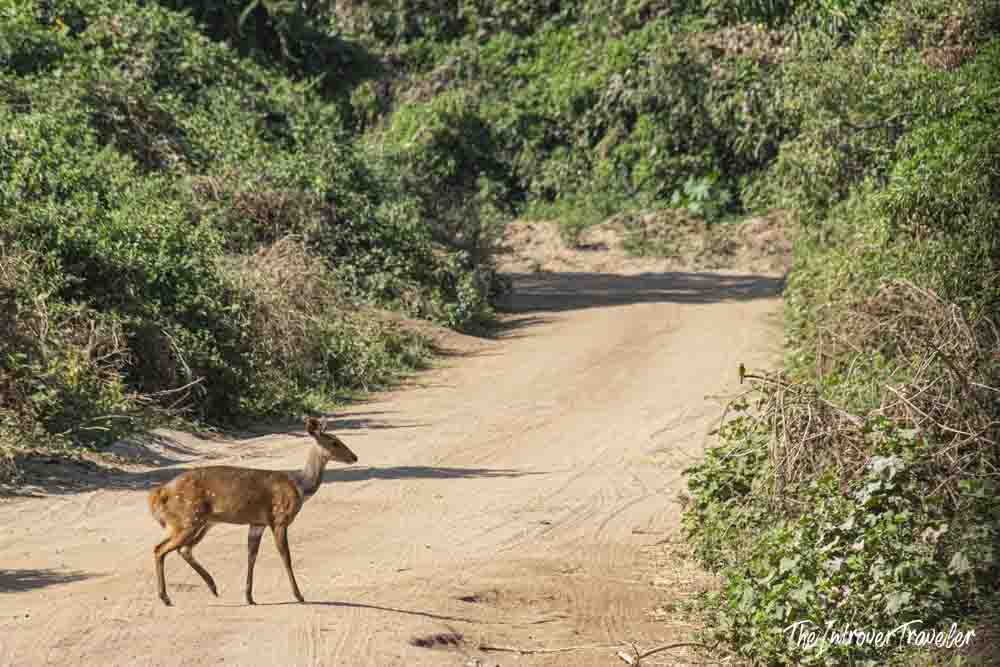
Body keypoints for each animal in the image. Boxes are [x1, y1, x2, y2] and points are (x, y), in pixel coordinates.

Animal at [148, 416, 358, 606]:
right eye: (334, 442)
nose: (354, 457)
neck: (299, 487)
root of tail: (159, 494)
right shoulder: (279, 518)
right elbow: (286, 557)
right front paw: (299, 596)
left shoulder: (257, 523)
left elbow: (251, 556)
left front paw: (249, 597)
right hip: (189, 519)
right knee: (160, 549)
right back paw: (166, 597)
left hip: (202, 521)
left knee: (183, 549)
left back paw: (212, 587)